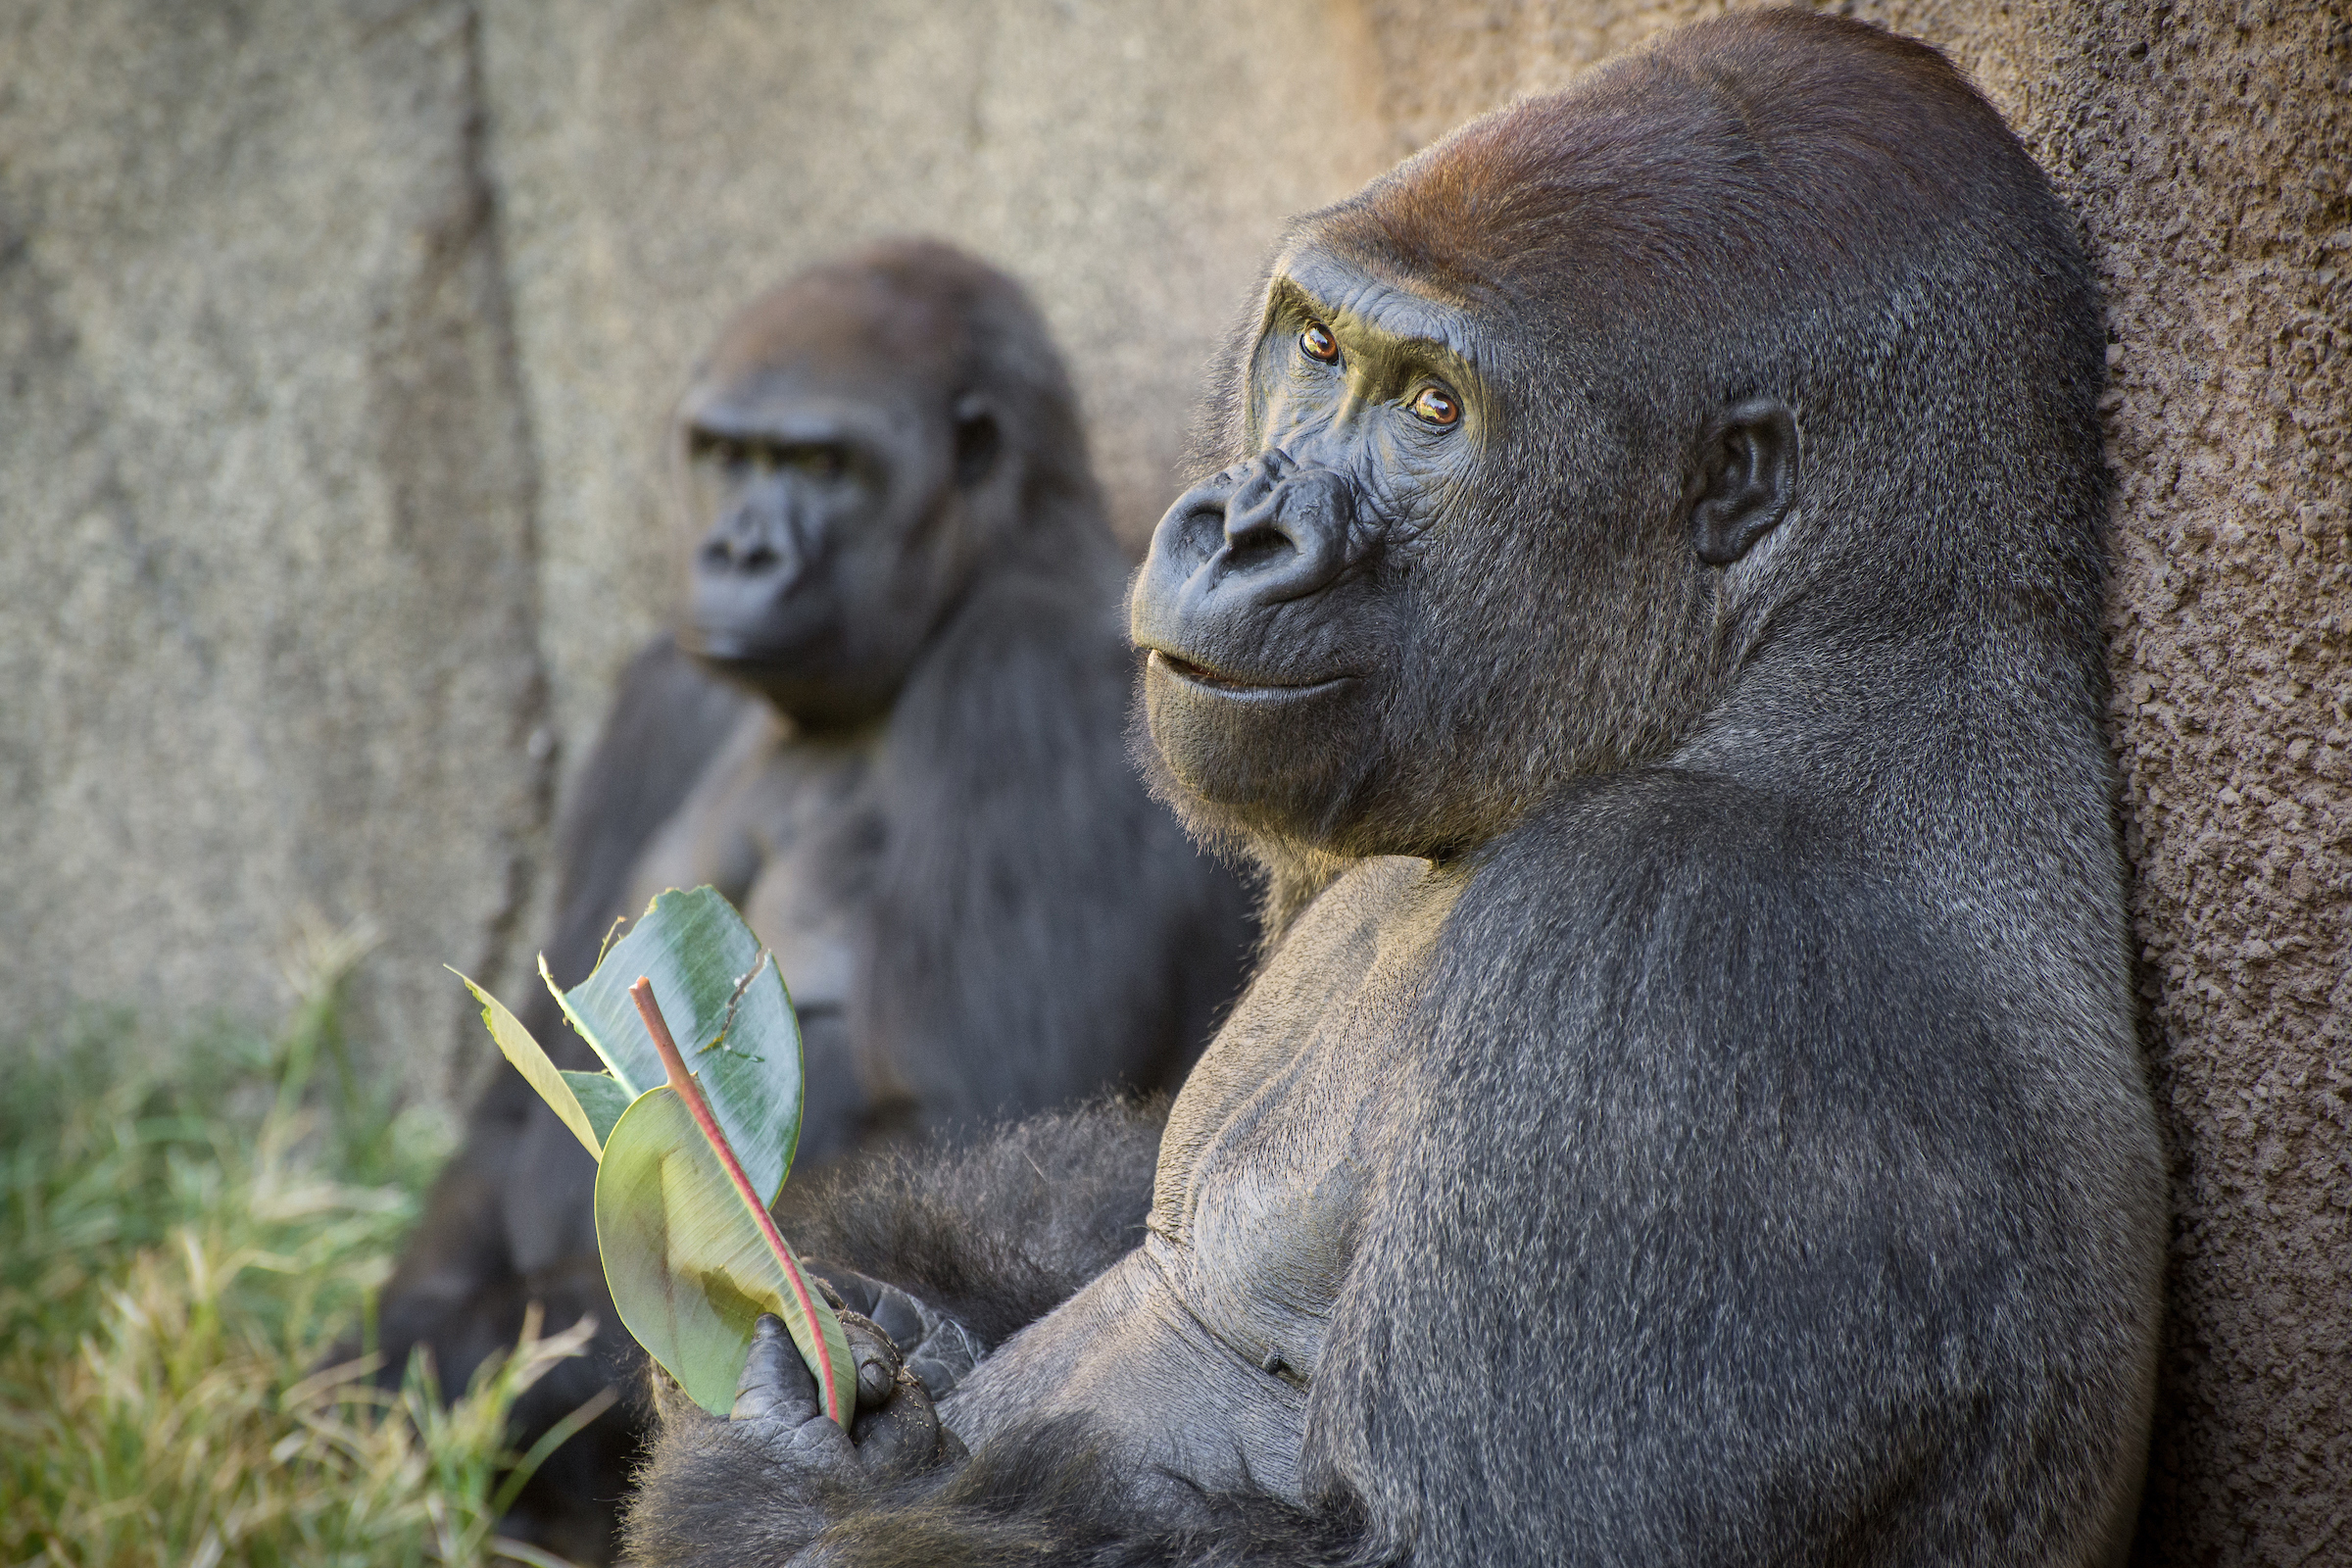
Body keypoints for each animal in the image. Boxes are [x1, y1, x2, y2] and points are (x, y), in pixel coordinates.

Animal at [371, 239, 1250, 1560]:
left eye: (826, 467)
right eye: (731, 455)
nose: (739, 555)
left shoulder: (1035, 671)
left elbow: (956, 1116)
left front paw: (487, 1366)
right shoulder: (660, 695)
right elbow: (511, 1108)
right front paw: (401, 1347)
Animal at [620, 12, 2164, 1568]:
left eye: (1434, 406)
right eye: (1316, 346)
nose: (1237, 525)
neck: (1827, 652)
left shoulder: (1683, 940)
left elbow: (1451, 1542)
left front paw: (773, 1455)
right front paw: (875, 1301)